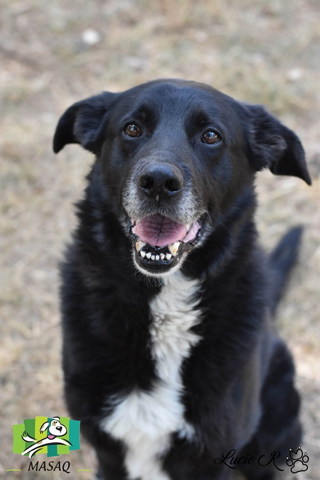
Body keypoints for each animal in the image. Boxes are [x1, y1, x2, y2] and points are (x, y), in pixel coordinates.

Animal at [53, 80, 312, 478]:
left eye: (211, 136)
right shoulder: (108, 451)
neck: (164, 301)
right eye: (132, 128)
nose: (158, 182)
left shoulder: (214, 456)